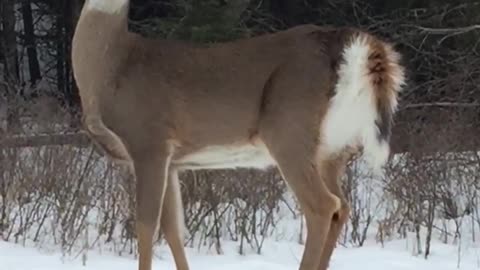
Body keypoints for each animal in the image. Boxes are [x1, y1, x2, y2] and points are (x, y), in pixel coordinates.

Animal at [72, 0, 404, 270]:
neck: (110, 70)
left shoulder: (148, 140)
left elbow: (145, 225)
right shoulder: (173, 160)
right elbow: (173, 228)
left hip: (289, 130)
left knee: (322, 206)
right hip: (333, 149)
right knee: (342, 205)